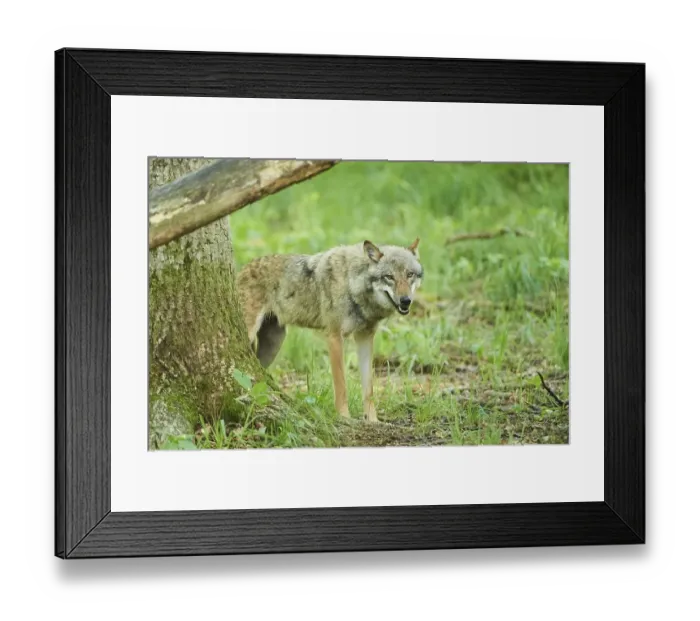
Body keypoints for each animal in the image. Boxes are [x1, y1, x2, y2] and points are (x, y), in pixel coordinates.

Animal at [236, 238, 423, 422]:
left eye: (410, 274)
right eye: (389, 277)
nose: (406, 300)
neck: (352, 284)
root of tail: (242, 269)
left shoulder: (365, 337)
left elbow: (368, 389)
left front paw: (373, 421)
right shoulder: (334, 337)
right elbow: (341, 387)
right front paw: (344, 419)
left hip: (273, 346)